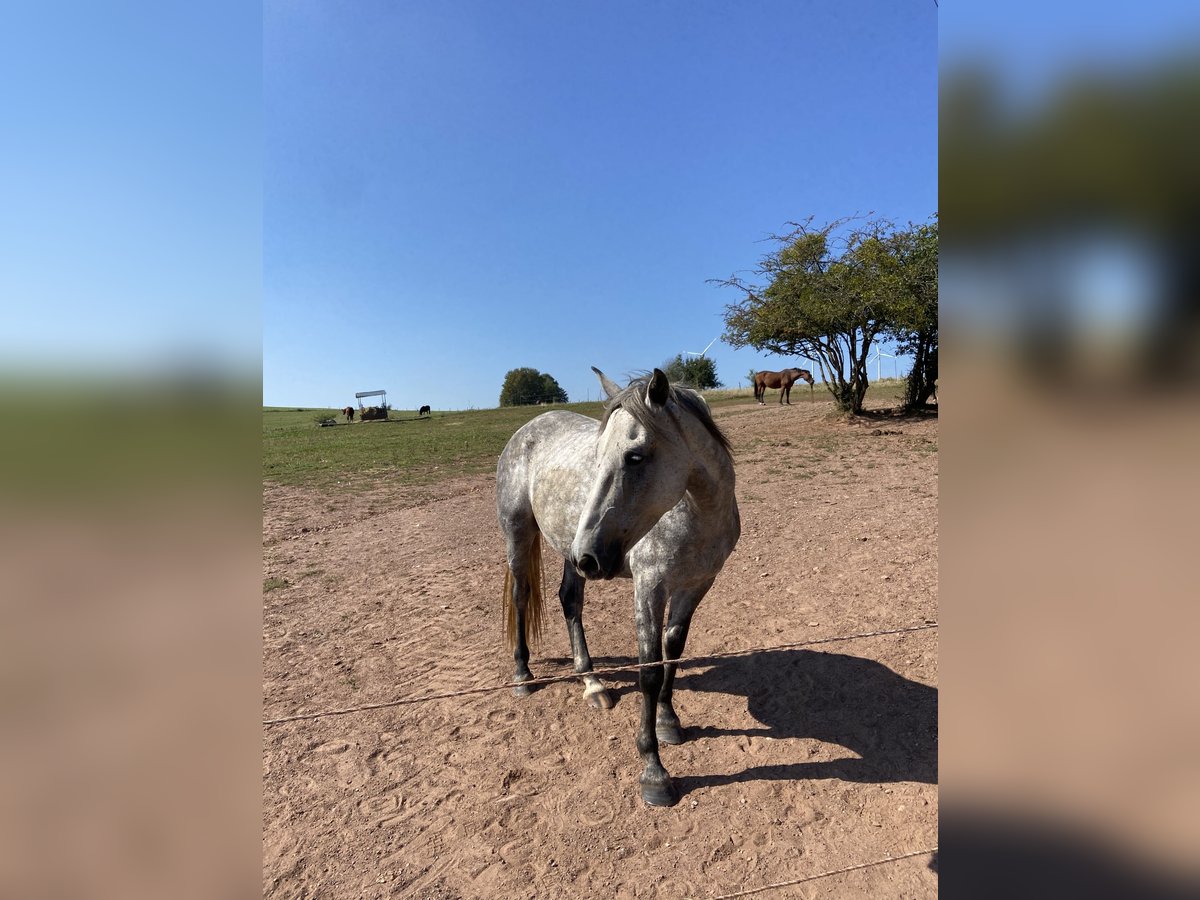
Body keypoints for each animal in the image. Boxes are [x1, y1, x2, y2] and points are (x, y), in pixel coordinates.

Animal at [492, 367, 734, 811]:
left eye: (634, 456)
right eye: (599, 453)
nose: (590, 555)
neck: (698, 514)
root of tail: (528, 428)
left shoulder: (695, 585)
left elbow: (673, 651)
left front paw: (668, 721)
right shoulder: (649, 587)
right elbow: (648, 671)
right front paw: (654, 771)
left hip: (569, 553)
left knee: (570, 601)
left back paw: (592, 683)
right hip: (522, 535)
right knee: (521, 596)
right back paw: (522, 674)